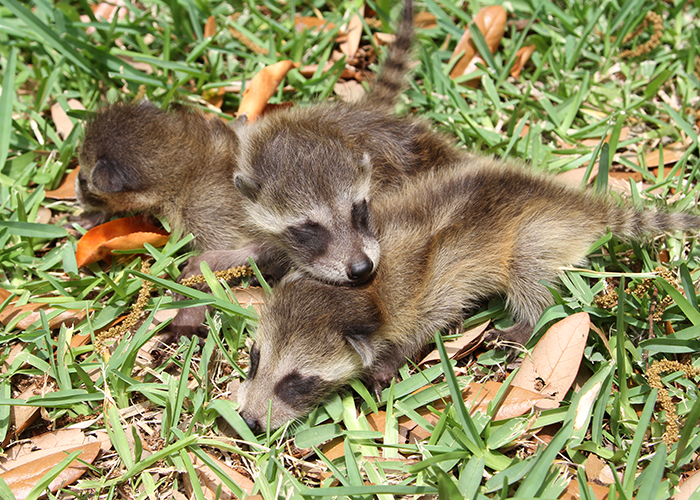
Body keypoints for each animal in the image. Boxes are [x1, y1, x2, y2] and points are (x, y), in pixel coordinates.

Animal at [239, 158, 700, 432]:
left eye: (297, 383)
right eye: (255, 359)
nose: (247, 421)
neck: (360, 295)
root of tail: (574, 204)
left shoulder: (424, 291)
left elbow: (427, 323)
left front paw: (386, 364)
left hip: (536, 232)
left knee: (529, 270)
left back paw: (527, 323)